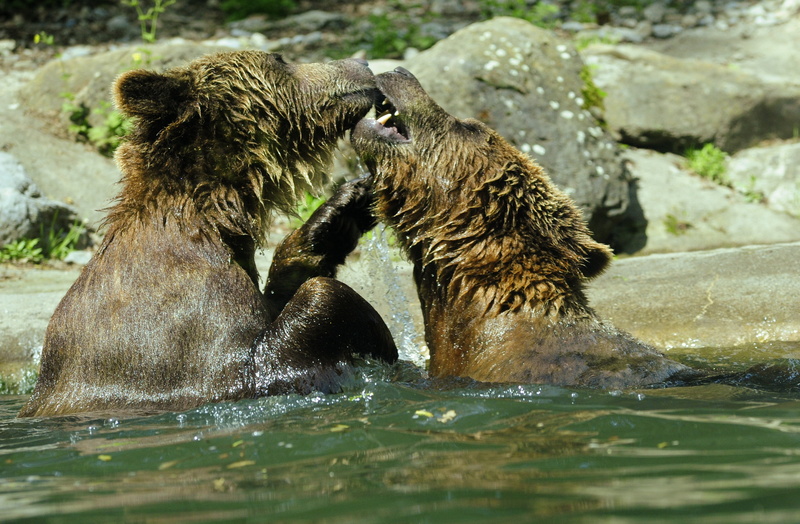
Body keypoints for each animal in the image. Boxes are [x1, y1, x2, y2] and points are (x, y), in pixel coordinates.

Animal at [18, 51, 397, 418]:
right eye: (279, 58)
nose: (362, 62)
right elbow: (293, 335)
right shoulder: (186, 335)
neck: (213, 217)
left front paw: (345, 209)